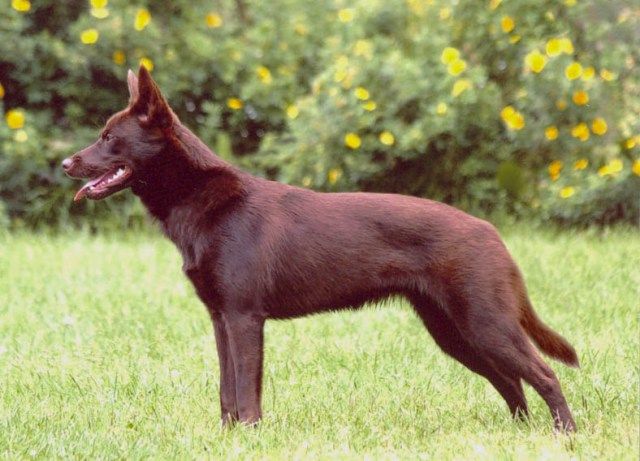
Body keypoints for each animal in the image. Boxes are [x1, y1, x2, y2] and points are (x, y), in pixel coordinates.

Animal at [62, 67, 576, 432]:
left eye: (109, 138)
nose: (65, 163)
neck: (203, 200)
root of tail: (491, 233)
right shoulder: (220, 318)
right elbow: (227, 391)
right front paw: (228, 438)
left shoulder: (245, 318)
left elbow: (245, 392)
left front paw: (250, 437)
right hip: (454, 331)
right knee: (512, 382)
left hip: (484, 324)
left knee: (545, 374)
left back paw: (565, 434)